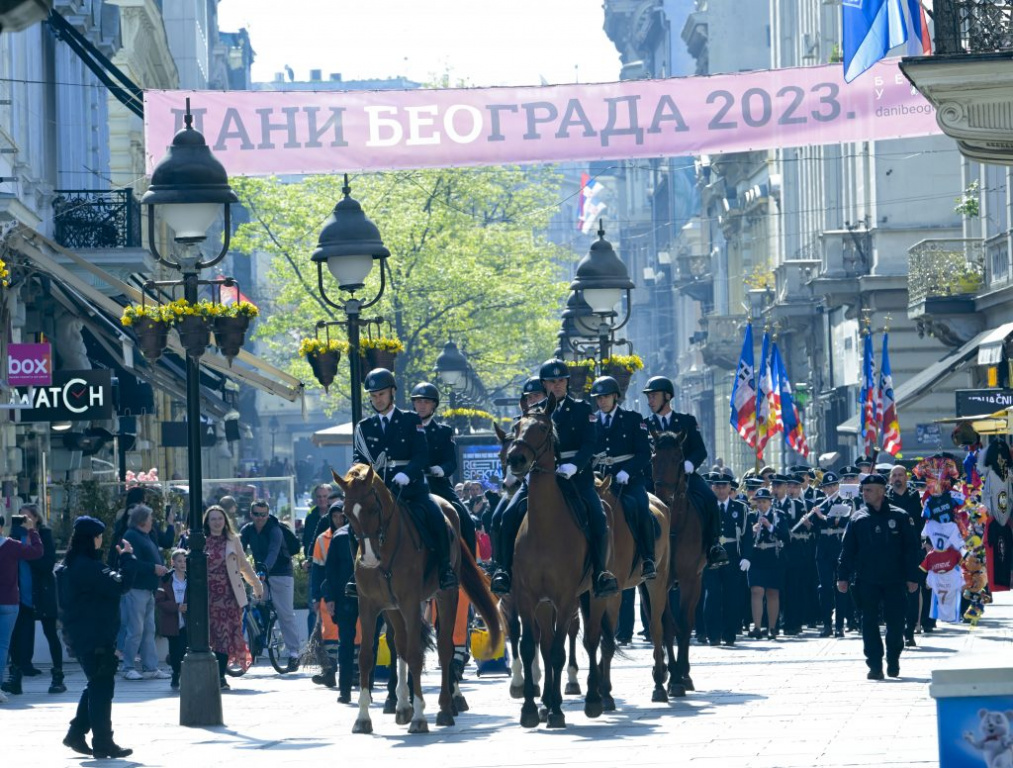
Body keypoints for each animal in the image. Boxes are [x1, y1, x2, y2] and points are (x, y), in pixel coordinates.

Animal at [332, 466, 502, 737]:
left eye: (373, 508)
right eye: (348, 513)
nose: (368, 559)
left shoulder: (410, 602)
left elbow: (415, 653)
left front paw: (420, 716)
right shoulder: (369, 605)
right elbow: (368, 656)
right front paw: (363, 718)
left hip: (446, 596)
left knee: (444, 647)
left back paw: (446, 706)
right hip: (394, 609)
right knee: (400, 644)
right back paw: (402, 704)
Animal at [502, 393, 595, 729]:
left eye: (542, 428)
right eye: (516, 426)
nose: (516, 460)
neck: (545, 528)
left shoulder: (566, 597)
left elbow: (556, 651)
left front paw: (556, 711)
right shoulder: (525, 596)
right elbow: (532, 647)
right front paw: (530, 708)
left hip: (588, 596)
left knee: (587, 639)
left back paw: (589, 699)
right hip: (543, 604)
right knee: (545, 642)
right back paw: (545, 702)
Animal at [591, 482, 676, 709]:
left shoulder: (613, 596)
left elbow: (606, 641)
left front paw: (606, 693)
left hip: (657, 581)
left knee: (656, 628)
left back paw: (659, 683)